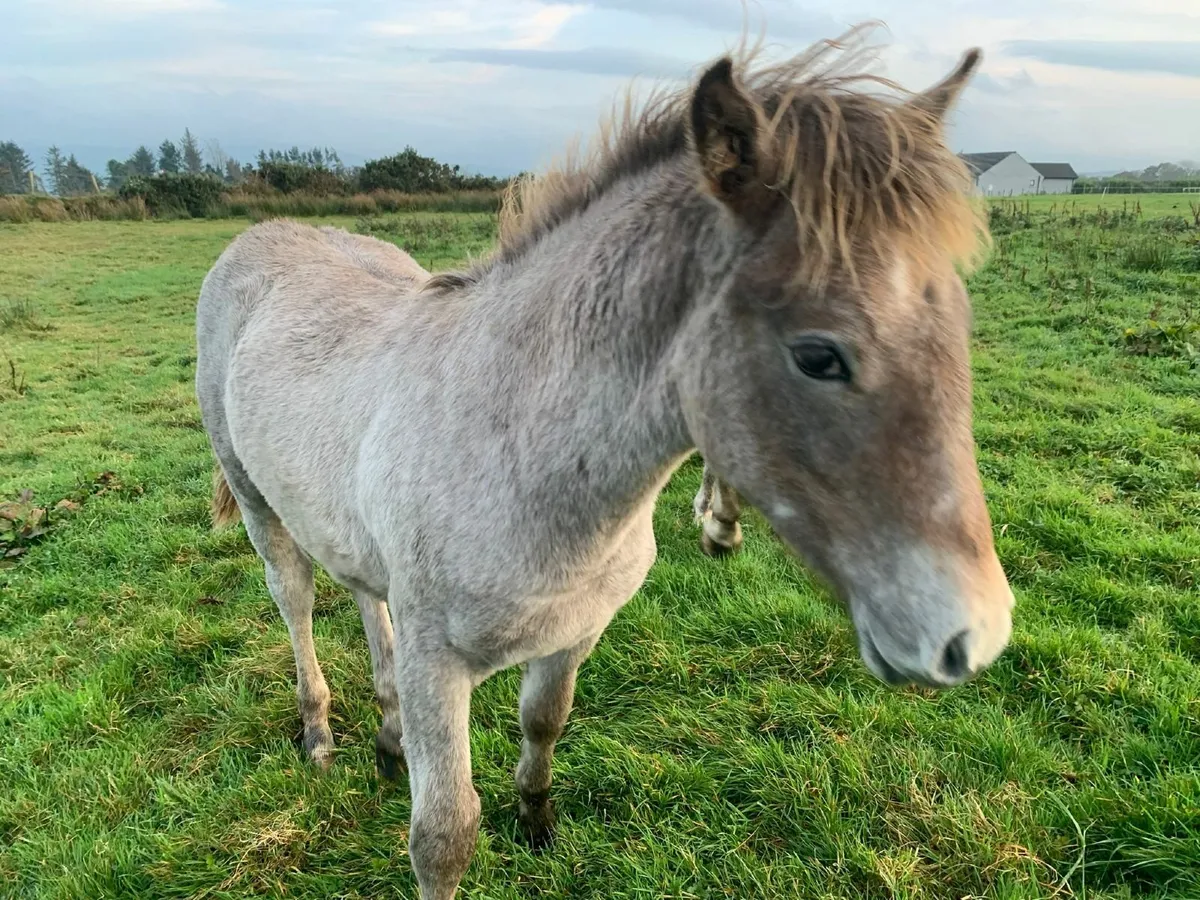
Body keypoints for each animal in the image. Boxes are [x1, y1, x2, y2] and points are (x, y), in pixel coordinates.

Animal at [195, 25, 1014, 899]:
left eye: (959, 321)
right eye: (819, 355)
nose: (972, 637)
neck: (522, 459)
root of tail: (260, 235)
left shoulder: (575, 631)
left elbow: (543, 723)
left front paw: (537, 821)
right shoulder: (436, 665)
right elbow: (443, 835)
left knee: (360, 591)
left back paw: (386, 735)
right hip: (258, 503)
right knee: (297, 602)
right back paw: (319, 733)